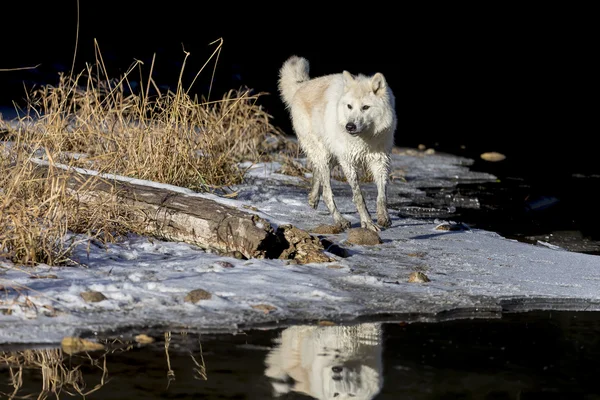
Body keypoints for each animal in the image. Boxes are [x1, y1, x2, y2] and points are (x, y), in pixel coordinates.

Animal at [278, 56, 398, 231]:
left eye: (365, 107)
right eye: (349, 106)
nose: (350, 126)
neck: (365, 139)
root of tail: (303, 85)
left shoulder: (380, 160)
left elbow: (382, 195)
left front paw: (384, 217)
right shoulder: (348, 162)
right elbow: (358, 196)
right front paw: (368, 223)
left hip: (331, 157)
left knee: (317, 174)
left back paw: (313, 199)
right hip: (325, 155)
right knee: (327, 193)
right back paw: (340, 221)